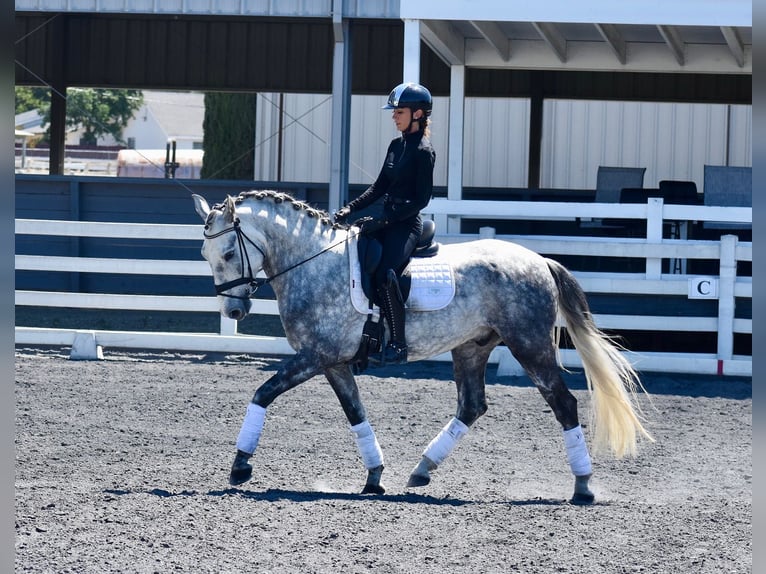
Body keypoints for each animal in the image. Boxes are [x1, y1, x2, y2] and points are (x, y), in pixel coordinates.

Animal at [192, 190, 653, 504]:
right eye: (205, 252)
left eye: (229, 252)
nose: (233, 311)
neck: (313, 262)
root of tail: (540, 261)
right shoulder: (334, 362)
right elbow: (356, 414)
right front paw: (375, 476)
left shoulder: (315, 357)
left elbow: (262, 393)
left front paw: (240, 466)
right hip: (471, 348)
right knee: (472, 406)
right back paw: (421, 471)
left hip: (530, 345)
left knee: (563, 404)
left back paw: (583, 487)